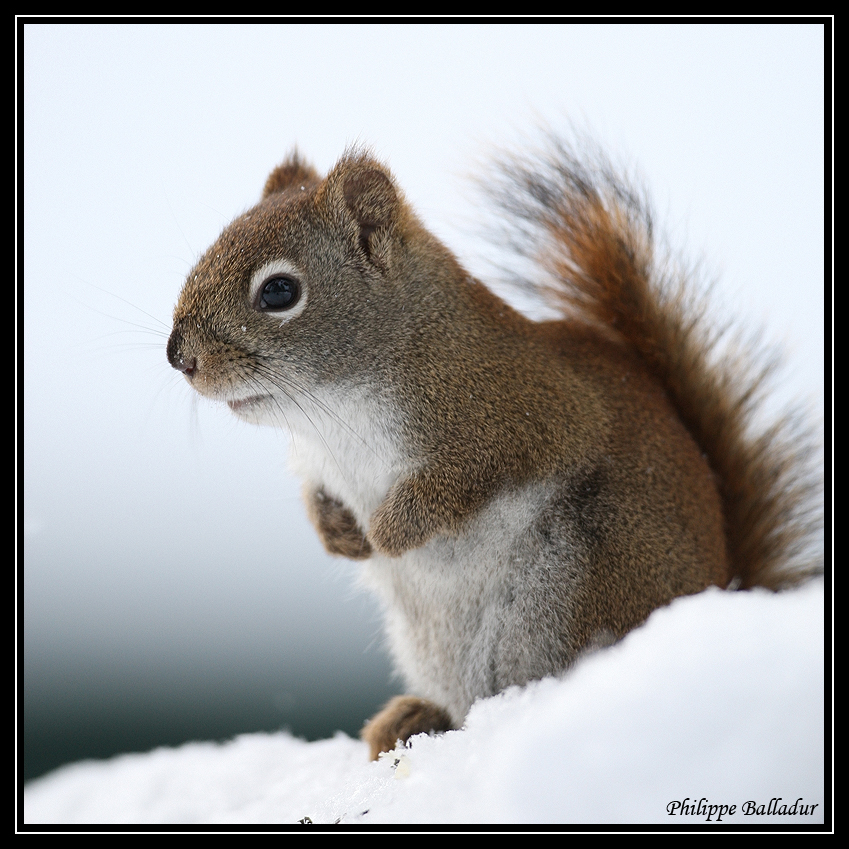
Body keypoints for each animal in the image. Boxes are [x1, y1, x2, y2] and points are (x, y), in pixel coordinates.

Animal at [166, 136, 820, 760]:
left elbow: (462, 481)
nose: (178, 357)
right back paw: (412, 719)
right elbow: (316, 497)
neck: (340, 410)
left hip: (582, 586)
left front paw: (388, 533)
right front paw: (340, 535)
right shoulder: (320, 463)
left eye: (279, 291)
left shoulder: (532, 414)